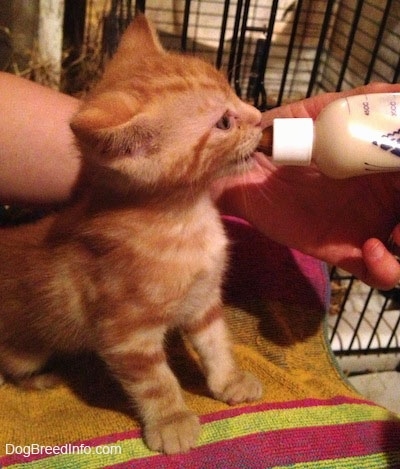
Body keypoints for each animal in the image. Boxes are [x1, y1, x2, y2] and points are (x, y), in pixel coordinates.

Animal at [0, 15, 262, 454]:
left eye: (234, 92)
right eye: (224, 122)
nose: (261, 115)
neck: (185, 219)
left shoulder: (204, 301)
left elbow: (216, 344)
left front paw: (229, 381)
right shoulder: (125, 334)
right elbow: (157, 382)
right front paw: (171, 421)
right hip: (25, 348)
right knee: (12, 367)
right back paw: (40, 379)